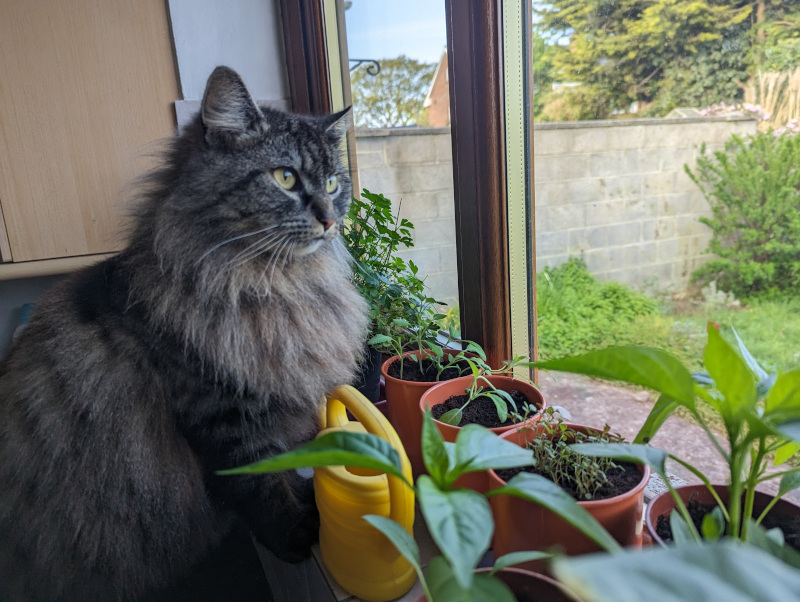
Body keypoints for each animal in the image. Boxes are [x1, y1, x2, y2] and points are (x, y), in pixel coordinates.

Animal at [0, 68, 368, 596]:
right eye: (285, 178)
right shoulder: (217, 417)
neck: (266, 285)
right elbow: (260, 484)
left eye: (335, 182)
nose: (330, 220)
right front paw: (299, 533)